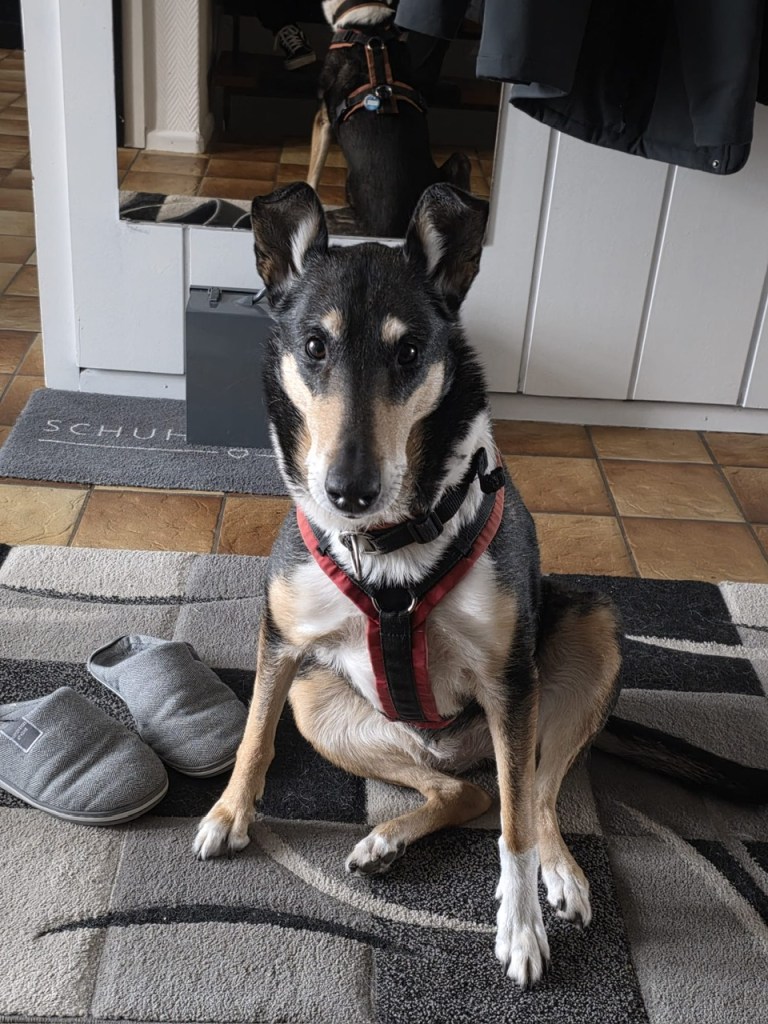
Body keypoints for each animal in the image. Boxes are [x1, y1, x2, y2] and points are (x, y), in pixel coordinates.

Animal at [194, 179, 624, 987]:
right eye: (314, 346)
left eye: (411, 351)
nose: (347, 490)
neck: (385, 548)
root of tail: (450, 746)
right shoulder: (282, 642)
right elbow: (253, 733)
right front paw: (229, 815)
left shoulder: (509, 680)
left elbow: (515, 828)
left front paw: (520, 928)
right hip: (321, 705)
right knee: (467, 790)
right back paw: (385, 841)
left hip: (586, 638)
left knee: (534, 793)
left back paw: (559, 873)